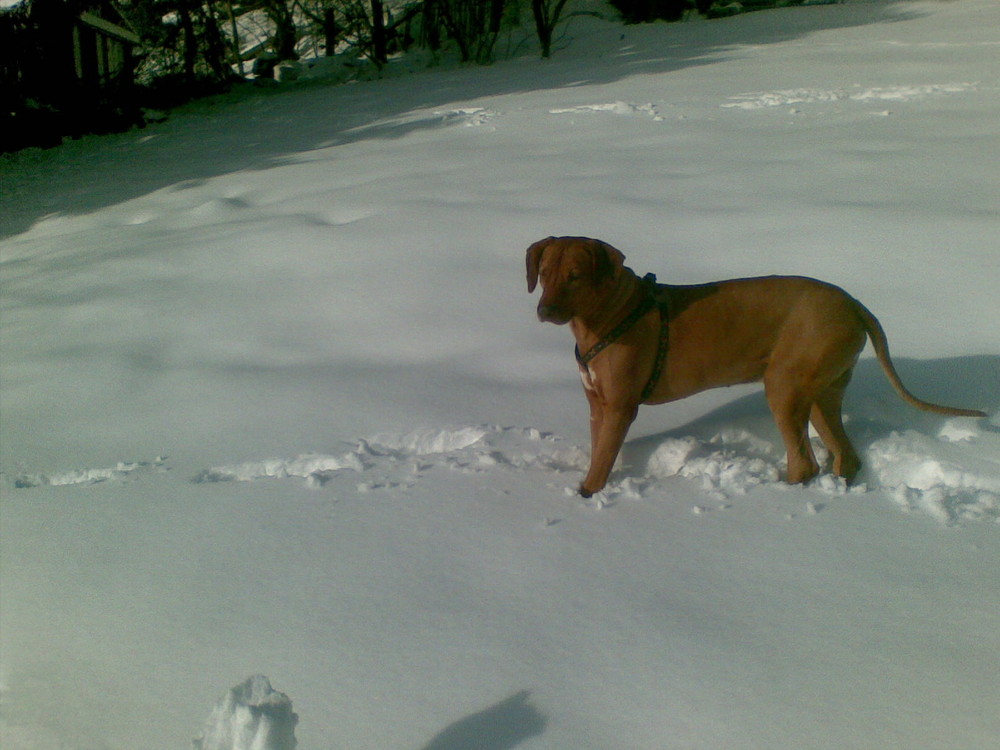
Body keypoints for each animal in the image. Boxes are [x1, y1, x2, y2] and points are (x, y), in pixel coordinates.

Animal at [524, 236, 984, 500]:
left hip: (784, 385)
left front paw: (587, 493)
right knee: (844, 455)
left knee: (805, 462)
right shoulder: (598, 404)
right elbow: (599, 447)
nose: (544, 310)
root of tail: (854, 304)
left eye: (576, 276)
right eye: (543, 273)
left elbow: (603, 458)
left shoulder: (620, 406)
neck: (606, 315)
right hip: (823, 388)